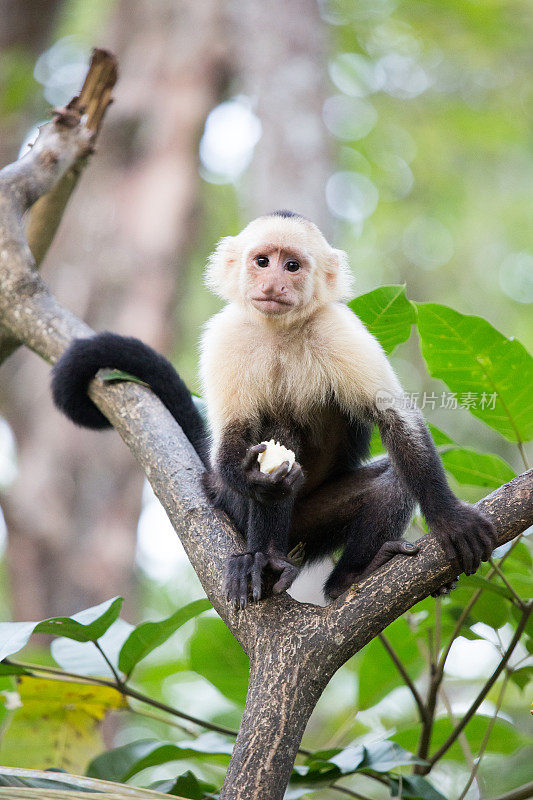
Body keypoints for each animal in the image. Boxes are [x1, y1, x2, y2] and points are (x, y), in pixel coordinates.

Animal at [52, 209, 496, 608]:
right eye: (263, 261)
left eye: (292, 266)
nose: (273, 283)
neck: (280, 331)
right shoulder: (226, 336)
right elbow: (235, 435)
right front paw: (256, 478)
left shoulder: (340, 328)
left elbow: (395, 421)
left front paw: (449, 518)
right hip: (228, 502)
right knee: (273, 439)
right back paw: (262, 558)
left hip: (310, 529)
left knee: (391, 477)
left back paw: (349, 577)